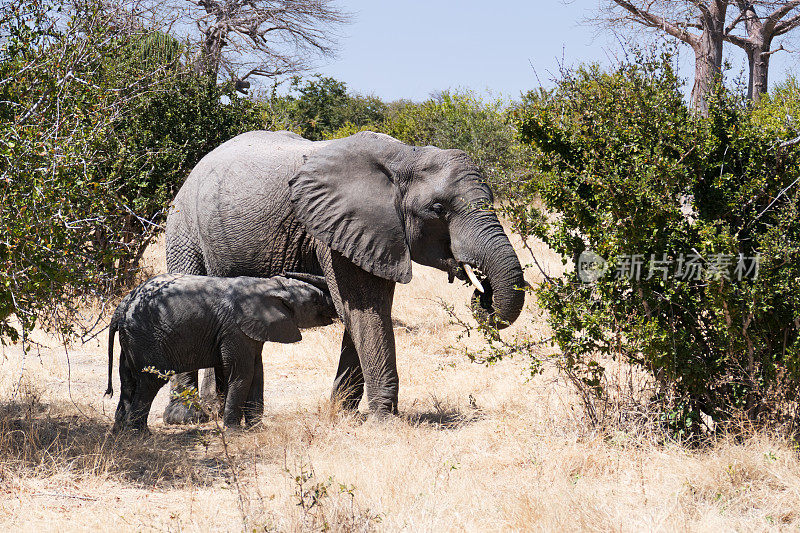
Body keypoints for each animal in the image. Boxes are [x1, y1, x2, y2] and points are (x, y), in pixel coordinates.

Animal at [104, 272, 336, 430]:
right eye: (315, 300)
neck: (269, 285)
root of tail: (121, 308)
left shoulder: (250, 332)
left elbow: (257, 373)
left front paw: (256, 429)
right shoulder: (234, 329)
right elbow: (241, 374)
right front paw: (233, 431)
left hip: (132, 340)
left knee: (128, 381)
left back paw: (120, 432)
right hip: (145, 336)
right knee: (151, 380)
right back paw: (140, 434)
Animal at [162, 129, 524, 420]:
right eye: (437, 209)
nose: (482, 292)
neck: (405, 156)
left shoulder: (374, 236)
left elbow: (368, 311)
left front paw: (342, 415)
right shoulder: (338, 227)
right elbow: (364, 310)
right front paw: (384, 422)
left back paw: (234, 413)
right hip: (183, 226)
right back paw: (187, 417)